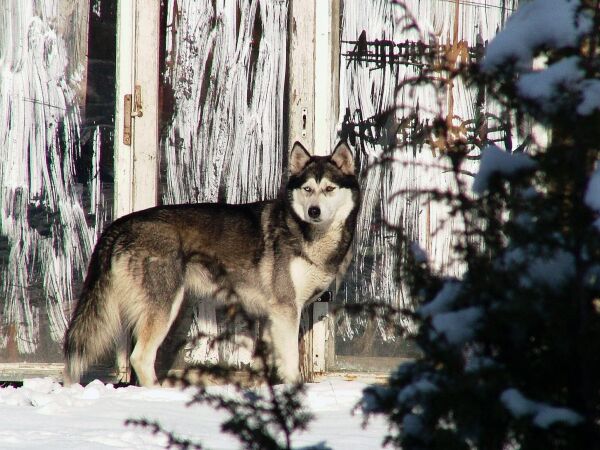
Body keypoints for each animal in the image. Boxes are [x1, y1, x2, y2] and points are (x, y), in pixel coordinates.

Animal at [63, 142, 358, 386]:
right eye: (308, 189)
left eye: (329, 189)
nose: (314, 211)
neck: (307, 234)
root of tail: (121, 222)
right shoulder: (286, 309)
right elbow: (291, 361)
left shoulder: (273, 316)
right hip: (164, 307)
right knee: (140, 357)